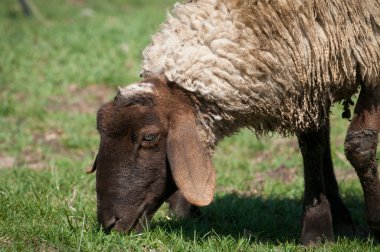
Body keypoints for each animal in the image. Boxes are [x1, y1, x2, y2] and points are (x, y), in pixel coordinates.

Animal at [89, 0, 380, 244]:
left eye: (148, 137)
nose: (108, 223)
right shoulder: (311, 69)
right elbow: (312, 145)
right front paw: (321, 228)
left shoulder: (369, 52)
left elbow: (359, 145)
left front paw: (366, 223)